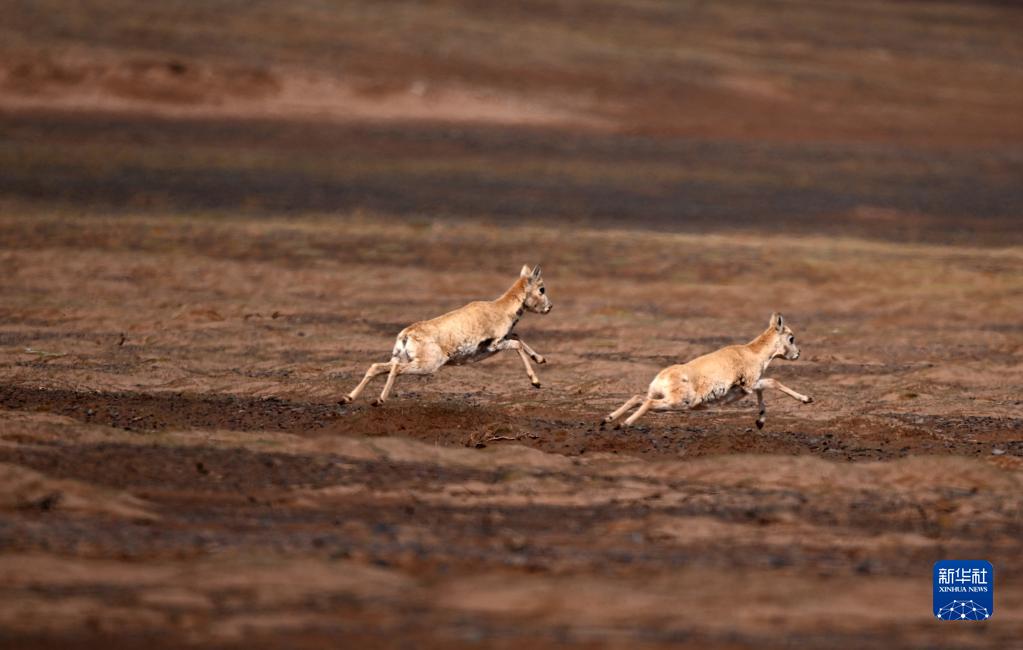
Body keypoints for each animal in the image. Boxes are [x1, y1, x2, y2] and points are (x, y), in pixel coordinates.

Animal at [339, 262, 552, 405]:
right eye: (542, 289)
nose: (549, 307)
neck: (499, 308)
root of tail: (406, 334)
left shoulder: (503, 339)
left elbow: (517, 336)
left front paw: (540, 359)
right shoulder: (496, 344)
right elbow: (517, 343)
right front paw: (535, 382)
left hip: (403, 359)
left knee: (376, 367)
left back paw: (347, 398)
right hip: (427, 365)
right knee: (396, 369)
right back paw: (379, 400)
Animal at [601, 315, 810, 431]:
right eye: (791, 338)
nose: (798, 354)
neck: (752, 352)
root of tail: (662, 377)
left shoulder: (748, 387)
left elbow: (764, 390)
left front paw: (760, 422)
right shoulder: (749, 384)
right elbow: (773, 382)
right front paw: (808, 399)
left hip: (661, 396)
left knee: (638, 398)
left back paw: (607, 419)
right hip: (678, 403)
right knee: (648, 403)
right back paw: (622, 424)